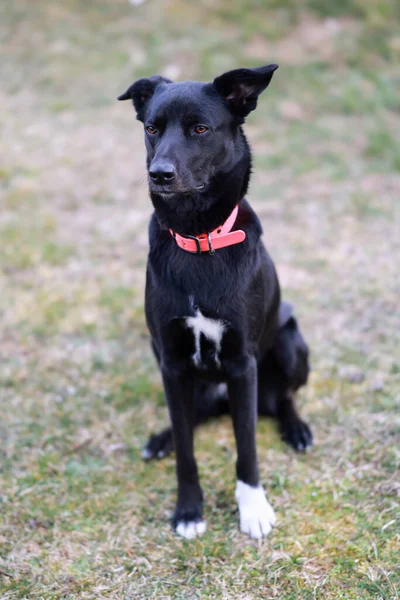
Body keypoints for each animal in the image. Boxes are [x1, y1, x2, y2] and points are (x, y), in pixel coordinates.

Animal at [119, 64, 312, 540]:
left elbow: (248, 446)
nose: (159, 173)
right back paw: (162, 439)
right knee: (192, 418)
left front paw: (254, 507)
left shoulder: (243, 365)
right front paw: (189, 509)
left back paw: (297, 429)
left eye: (201, 129)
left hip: (290, 342)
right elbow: (188, 449)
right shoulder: (171, 362)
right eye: (152, 128)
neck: (199, 238)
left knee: (284, 397)